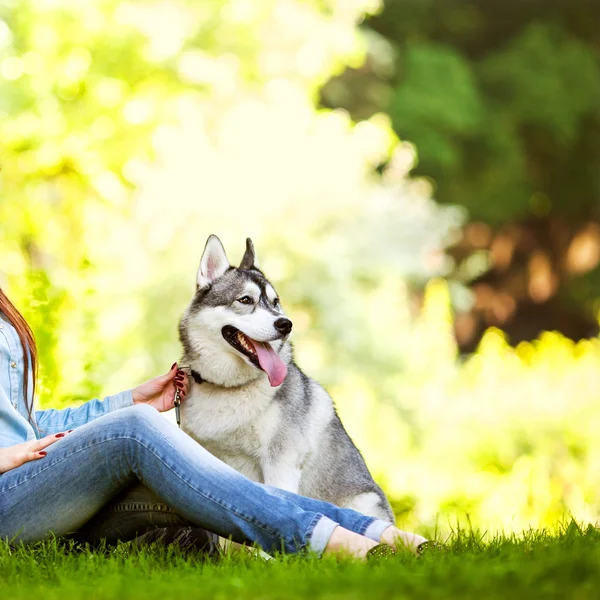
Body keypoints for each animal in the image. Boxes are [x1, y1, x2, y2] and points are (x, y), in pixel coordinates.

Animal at [177, 237, 394, 524]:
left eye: (275, 301)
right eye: (245, 300)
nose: (286, 324)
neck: (230, 387)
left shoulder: (280, 462)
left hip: (364, 501)